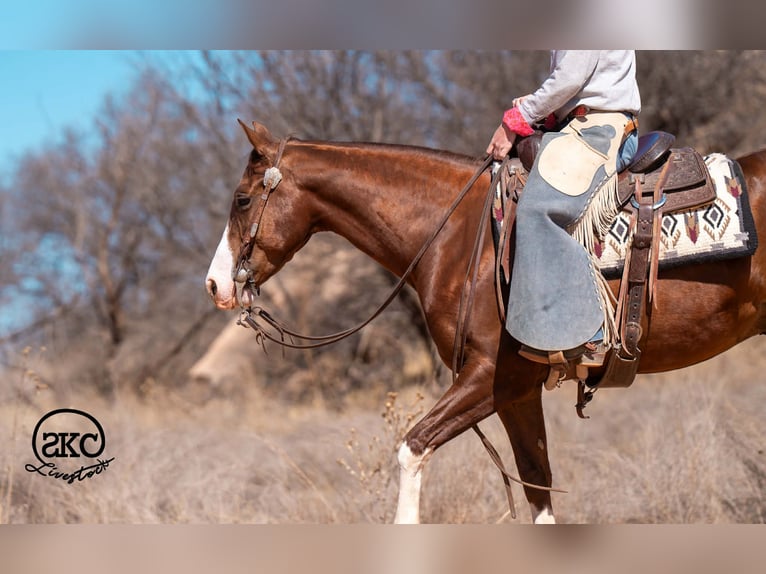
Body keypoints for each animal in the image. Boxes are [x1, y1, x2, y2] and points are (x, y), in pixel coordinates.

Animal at [205, 120, 766, 523]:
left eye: (242, 200)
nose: (215, 285)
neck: (456, 233)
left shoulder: (490, 376)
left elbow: (411, 449)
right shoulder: (518, 391)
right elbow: (538, 485)